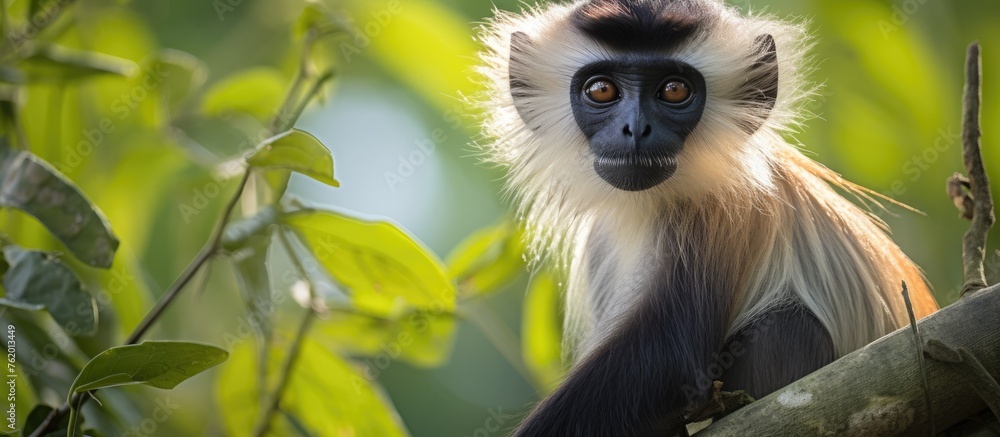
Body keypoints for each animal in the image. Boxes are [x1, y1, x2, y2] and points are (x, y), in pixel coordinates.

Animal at [474, 0, 940, 435]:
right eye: (602, 90)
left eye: (674, 90)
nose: (635, 129)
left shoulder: (722, 208)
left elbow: (673, 364)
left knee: (785, 330)